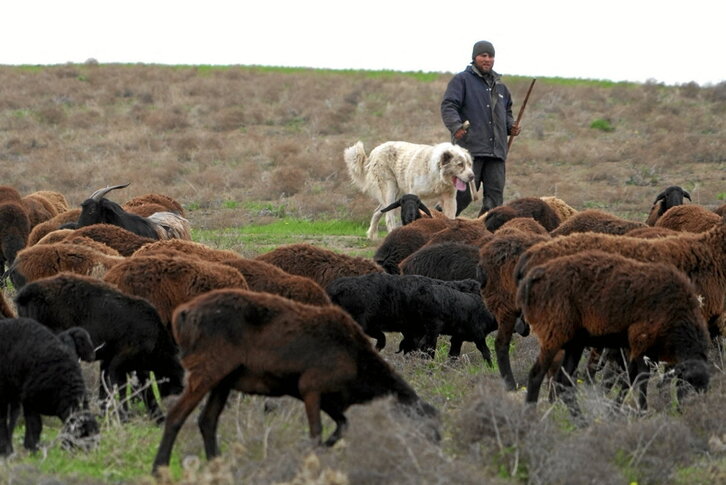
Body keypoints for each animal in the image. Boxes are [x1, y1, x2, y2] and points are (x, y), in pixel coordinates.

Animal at [0, 317, 99, 456]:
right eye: (85, 435)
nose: (95, 455)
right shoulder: (30, 400)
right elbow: (36, 426)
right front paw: (33, 449)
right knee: (3, 418)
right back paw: (6, 451)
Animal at [14, 273, 184, 422]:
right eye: (177, 377)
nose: (176, 403)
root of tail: (26, 294)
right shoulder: (120, 362)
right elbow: (123, 389)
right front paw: (125, 417)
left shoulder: (112, 360)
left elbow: (108, 389)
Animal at [151, 288, 439, 472]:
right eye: (424, 428)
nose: (434, 458)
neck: (361, 366)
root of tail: (182, 315)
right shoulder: (311, 387)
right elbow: (316, 431)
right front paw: (311, 458)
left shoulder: (329, 398)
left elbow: (342, 425)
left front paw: (320, 450)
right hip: (207, 369)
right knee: (176, 415)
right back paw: (159, 468)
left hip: (224, 379)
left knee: (207, 421)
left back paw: (218, 465)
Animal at [516, 250, 711, 414]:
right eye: (687, 382)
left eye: (704, 388)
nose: (692, 410)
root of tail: (535, 276)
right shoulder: (641, 342)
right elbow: (641, 378)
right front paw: (642, 411)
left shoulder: (644, 349)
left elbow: (629, 378)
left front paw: (614, 411)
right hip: (554, 334)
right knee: (536, 375)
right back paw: (530, 418)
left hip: (574, 343)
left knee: (563, 383)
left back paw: (582, 422)